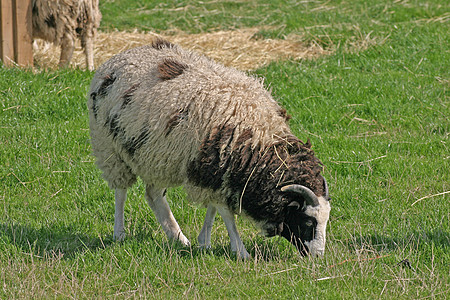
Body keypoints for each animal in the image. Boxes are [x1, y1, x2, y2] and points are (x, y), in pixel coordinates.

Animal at [87, 38, 330, 258]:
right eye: (308, 221)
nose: (318, 256)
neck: (257, 137)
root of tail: (117, 57)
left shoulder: (213, 171)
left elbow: (213, 208)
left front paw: (204, 241)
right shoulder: (212, 169)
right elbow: (225, 212)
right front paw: (241, 251)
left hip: (156, 155)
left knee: (153, 195)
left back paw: (178, 237)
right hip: (110, 149)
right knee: (121, 191)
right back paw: (120, 233)